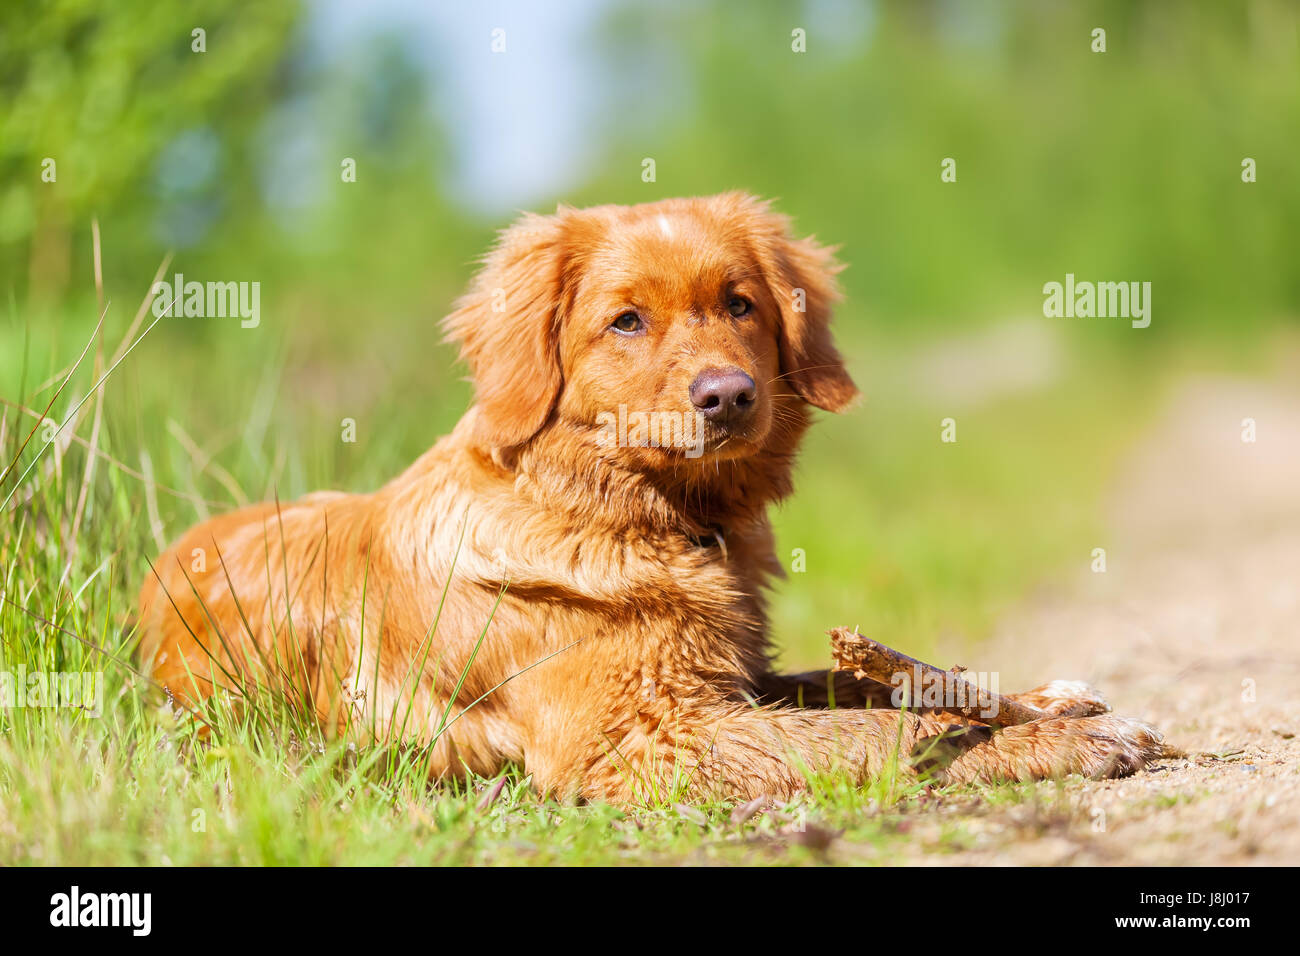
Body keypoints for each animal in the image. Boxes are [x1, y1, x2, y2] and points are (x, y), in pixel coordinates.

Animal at [134, 192, 1170, 801]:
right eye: (625, 321)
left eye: (740, 302)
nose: (728, 396)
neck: (637, 516)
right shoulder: (637, 740)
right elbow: (868, 731)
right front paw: (1057, 744)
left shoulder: (729, 681)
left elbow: (863, 686)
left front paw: (1036, 700)